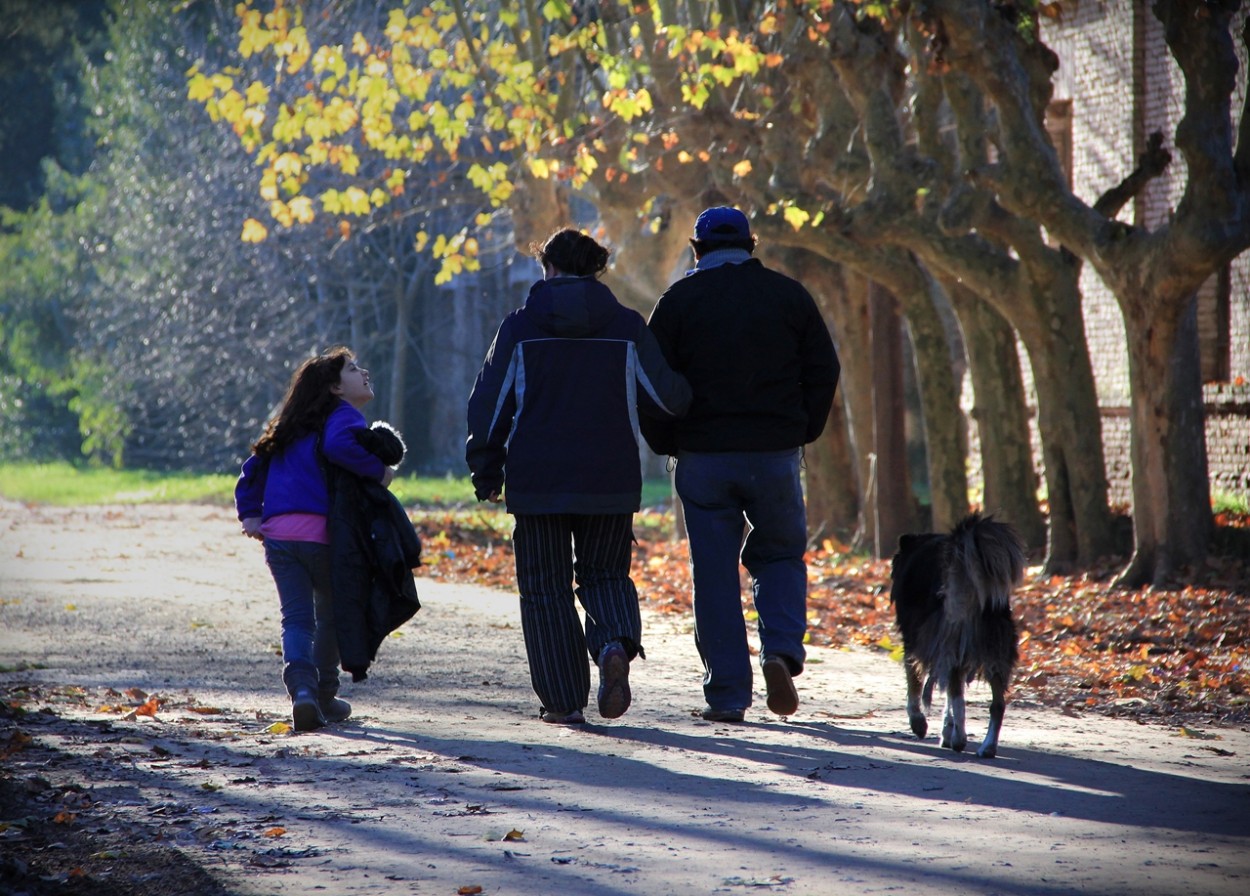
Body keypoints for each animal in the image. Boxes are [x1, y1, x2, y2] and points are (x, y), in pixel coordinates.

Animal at [890, 514, 1025, 759]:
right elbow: (948, 696)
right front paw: (946, 729)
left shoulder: (915, 641)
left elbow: (915, 683)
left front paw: (919, 723)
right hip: (995, 650)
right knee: (996, 705)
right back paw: (987, 746)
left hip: (950, 642)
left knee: (958, 699)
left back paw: (959, 740)